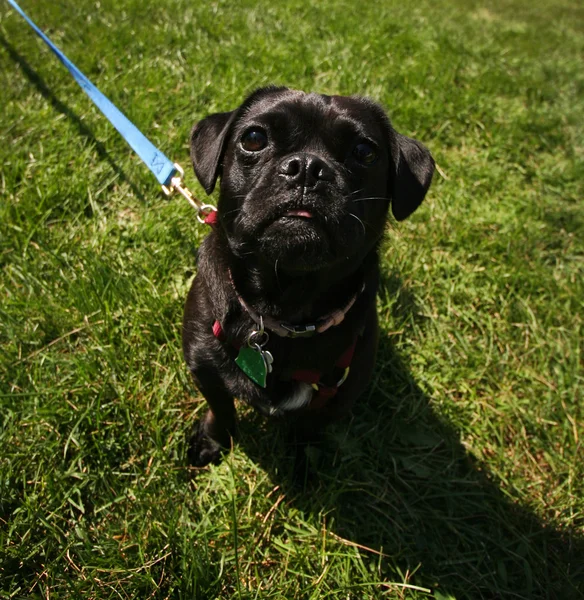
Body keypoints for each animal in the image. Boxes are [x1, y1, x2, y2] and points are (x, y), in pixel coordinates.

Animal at [182, 86, 434, 466]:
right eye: (253, 138)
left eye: (365, 152)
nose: (307, 167)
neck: (283, 309)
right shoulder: (204, 369)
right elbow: (222, 409)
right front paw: (213, 442)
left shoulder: (336, 401)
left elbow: (306, 431)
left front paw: (300, 465)